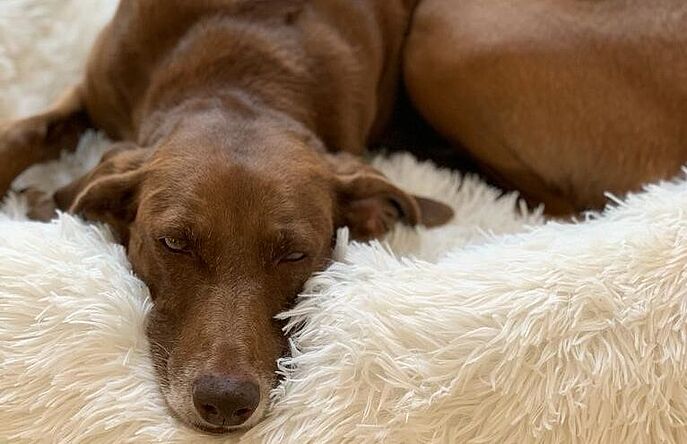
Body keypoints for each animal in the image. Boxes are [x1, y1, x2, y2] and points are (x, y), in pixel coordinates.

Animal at [0, 0, 452, 434]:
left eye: (295, 255)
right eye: (174, 243)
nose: (225, 402)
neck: (243, 74)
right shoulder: (93, 90)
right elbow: (25, 133)